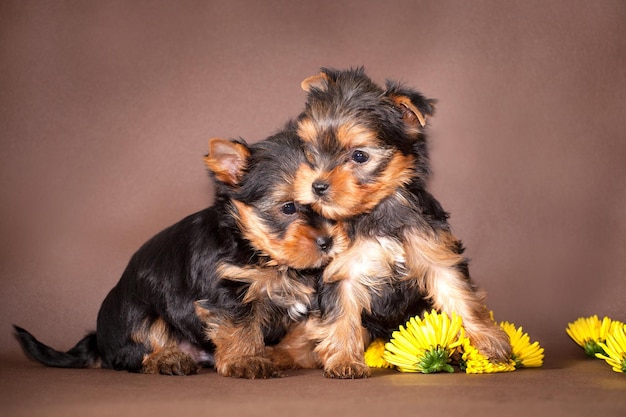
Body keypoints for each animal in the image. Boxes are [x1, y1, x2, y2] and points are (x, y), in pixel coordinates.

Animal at [13, 130, 346, 376]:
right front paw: (246, 360)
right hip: (140, 314)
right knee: (137, 349)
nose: (327, 242)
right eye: (288, 207)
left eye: (325, 199)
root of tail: (98, 340)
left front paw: (289, 355)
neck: (256, 248)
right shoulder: (228, 291)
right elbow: (240, 328)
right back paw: (167, 359)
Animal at [276, 67, 510, 376]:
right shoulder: (342, 268)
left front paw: (490, 342)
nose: (317, 186)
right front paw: (344, 360)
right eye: (309, 150)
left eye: (359, 156)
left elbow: (459, 295)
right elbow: (341, 315)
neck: (378, 209)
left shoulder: (433, 248)